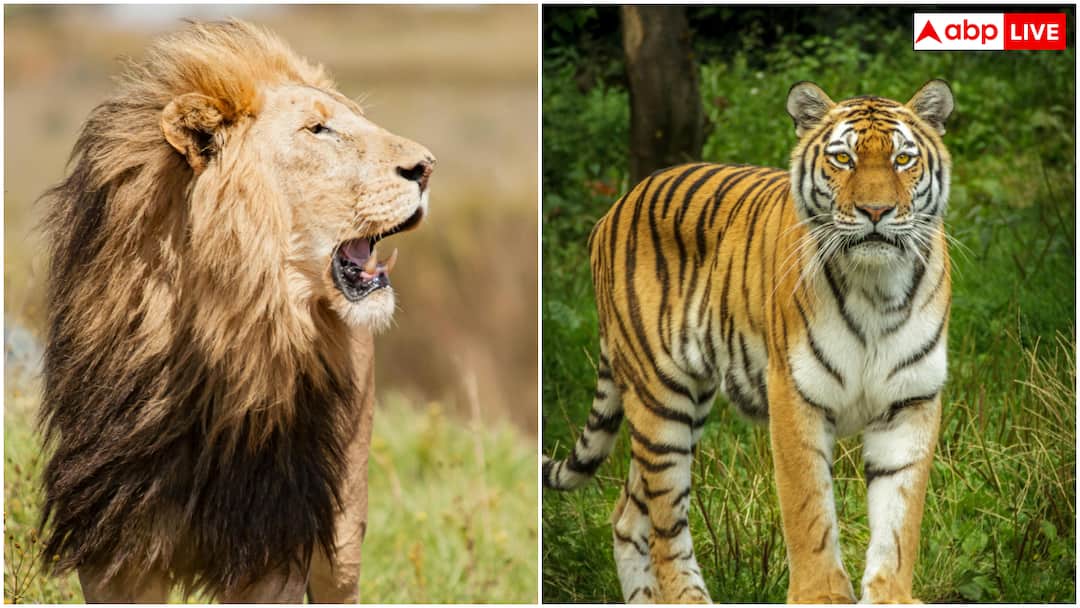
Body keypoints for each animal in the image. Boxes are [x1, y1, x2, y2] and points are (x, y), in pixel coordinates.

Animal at [542, 80, 954, 604]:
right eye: (843, 159)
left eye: (903, 160)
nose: (876, 211)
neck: (876, 287)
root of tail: (617, 206)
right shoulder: (795, 395)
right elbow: (808, 509)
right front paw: (820, 596)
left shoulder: (911, 401)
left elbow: (900, 518)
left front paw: (890, 595)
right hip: (661, 400)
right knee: (664, 526)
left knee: (628, 518)